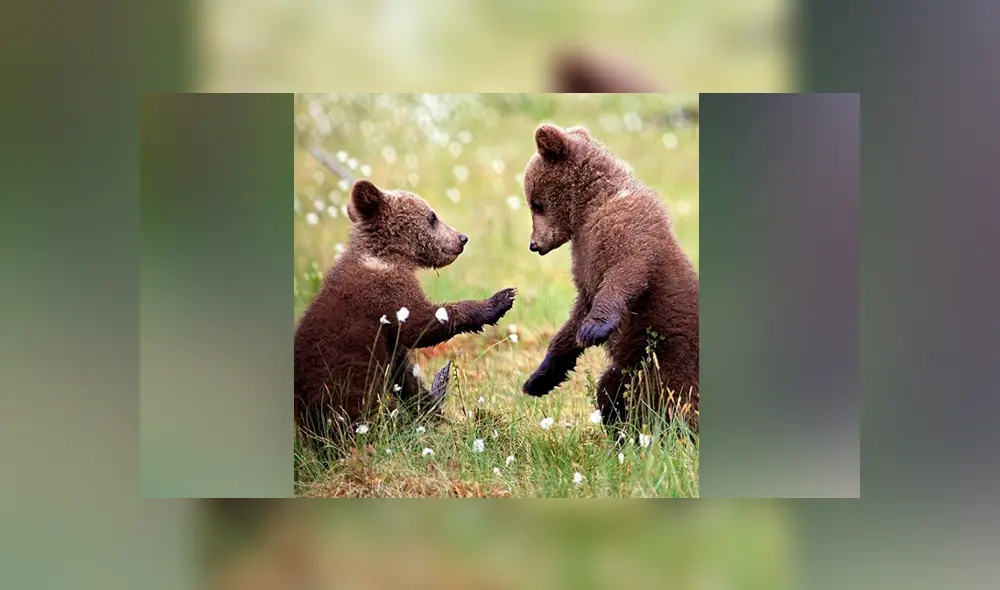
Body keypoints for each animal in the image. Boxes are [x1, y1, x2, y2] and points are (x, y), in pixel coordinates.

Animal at [294, 179, 517, 439]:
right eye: (432, 217)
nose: (462, 238)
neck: (388, 257)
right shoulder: (385, 297)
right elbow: (422, 325)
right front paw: (499, 301)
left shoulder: (389, 338)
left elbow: (405, 372)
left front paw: (431, 404)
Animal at [520, 123, 699, 433]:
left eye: (536, 203)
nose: (534, 244)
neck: (591, 206)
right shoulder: (585, 265)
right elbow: (576, 315)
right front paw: (540, 378)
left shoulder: (628, 231)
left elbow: (625, 272)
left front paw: (594, 328)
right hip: (631, 365)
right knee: (610, 390)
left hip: (671, 352)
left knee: (674, 396)